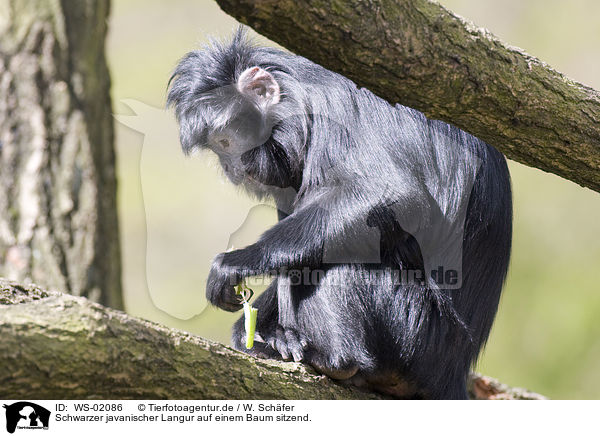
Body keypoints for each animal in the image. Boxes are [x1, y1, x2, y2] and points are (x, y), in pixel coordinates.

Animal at [168, 28, 510, 402]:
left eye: (225, 142)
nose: (232, 168)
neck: (298, 92)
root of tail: (453, 371)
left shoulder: (332, 110)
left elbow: (394, 195)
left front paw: (236, 263)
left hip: (416, 333)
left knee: (339, 261)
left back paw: (334, 361)